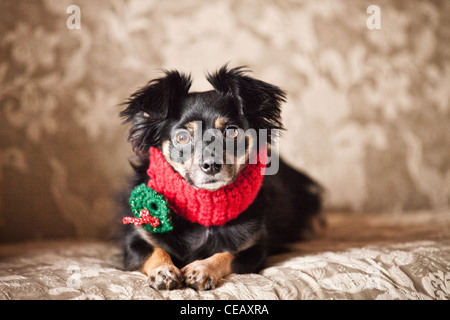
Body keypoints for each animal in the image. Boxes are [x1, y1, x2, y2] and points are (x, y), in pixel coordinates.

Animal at [118, 65, 324, 290]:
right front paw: (163, 270)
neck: (206, 210)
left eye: (231, 132)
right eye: (182, 137)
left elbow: (226, 254)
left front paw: (201, 269)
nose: (211, 165)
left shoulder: (253, 249)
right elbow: (154, 251)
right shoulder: (136, 240)